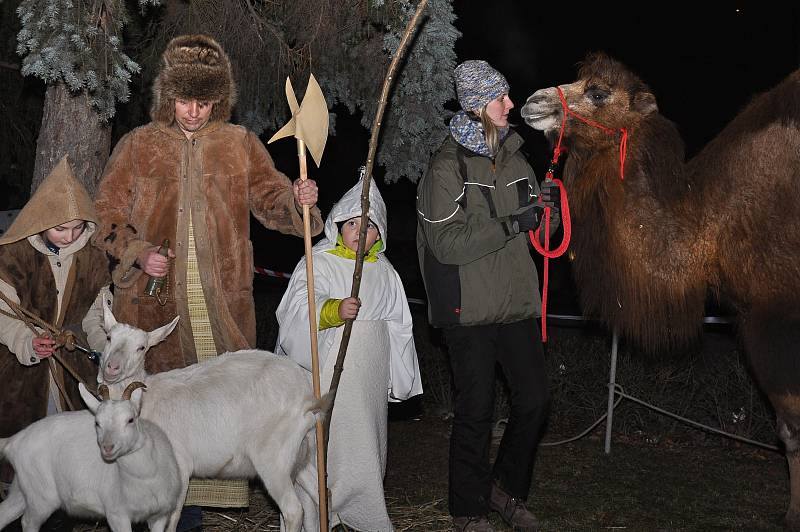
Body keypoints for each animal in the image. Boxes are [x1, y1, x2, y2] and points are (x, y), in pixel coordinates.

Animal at [0, 382, 181, 532]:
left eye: (130, 419)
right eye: (97, 423)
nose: (107, 448)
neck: (147, 478)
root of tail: (13, 441)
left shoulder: (160, 516)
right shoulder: (117, 514)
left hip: (23, 489)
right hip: (41, 496)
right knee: (28, 522)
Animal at [97, 306, 328, 532]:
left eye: (141, 348)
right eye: (108, 337)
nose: (112, 367)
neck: (146, 400)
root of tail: (306, 398)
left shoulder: (179, 465)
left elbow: (171, 518)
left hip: (273, 456)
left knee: (293, 510)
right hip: (303, 454)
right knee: (322, 493)